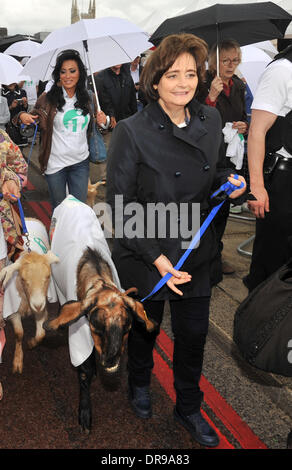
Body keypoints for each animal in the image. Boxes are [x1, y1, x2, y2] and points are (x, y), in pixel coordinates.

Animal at [0, 219, 58, 374]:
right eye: (23, 279)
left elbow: (41, 334)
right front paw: (18, 361)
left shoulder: (42, 308)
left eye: (48, 277)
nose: (37, 304)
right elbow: (19, 334)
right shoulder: (13, 311)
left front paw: (32, 343)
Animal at [43, 196, 155, 434]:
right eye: (97, 327)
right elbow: (84, 369)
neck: (98, 280)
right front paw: (85, 414)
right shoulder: (81, 332)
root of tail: (70, 198)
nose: (111, 359)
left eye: (128, 328)